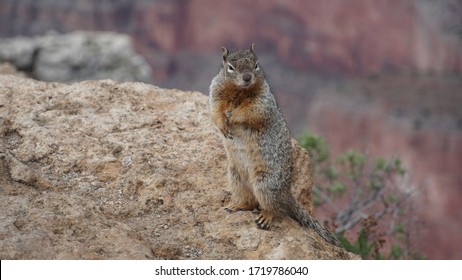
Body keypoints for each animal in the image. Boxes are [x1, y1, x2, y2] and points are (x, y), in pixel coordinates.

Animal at [209, 44, 342, 247]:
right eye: (230, 67)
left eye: (256, 64)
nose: (247, 77)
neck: (239, 92)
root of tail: (287, 194)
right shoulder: (216, 91)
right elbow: (215, 109)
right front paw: (223, 123)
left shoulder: (263, 101)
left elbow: (251, 111)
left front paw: (234, 115)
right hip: (235, 177)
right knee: (250, 202)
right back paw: (237, 205)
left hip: (266, 183)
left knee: (275, 208)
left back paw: (265, 217)